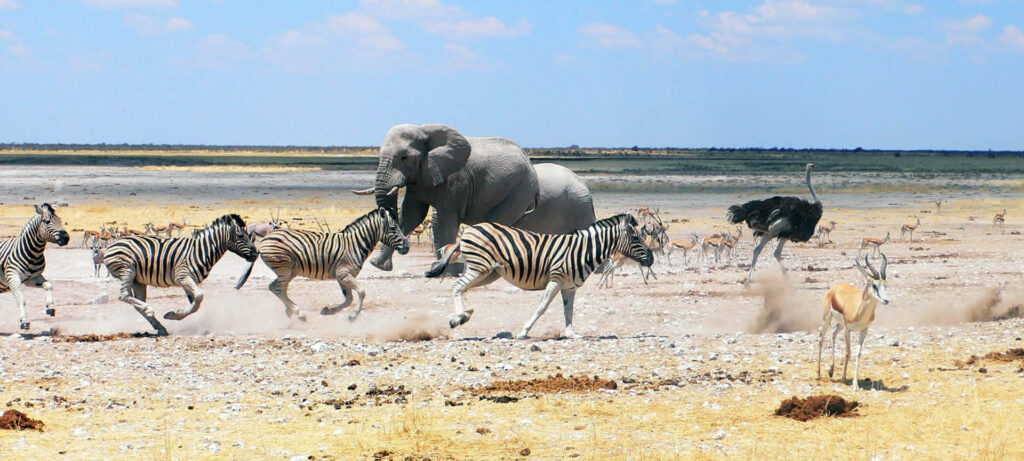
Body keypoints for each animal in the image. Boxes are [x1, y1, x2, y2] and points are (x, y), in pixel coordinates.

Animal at [101, 212, 258, 333]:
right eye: (241, 236)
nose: (256, 254)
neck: (202, 250)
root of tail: (111, 246)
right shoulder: (183, 276)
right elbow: (199, 297)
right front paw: (175, 314)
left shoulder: (188, 280)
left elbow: (195, 303)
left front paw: (174, 315)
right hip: (128, 270)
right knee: (124, 296)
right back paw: (149, 310)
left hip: (138, 280)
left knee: (136, 301)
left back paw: (159, 326)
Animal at [234, 207, 409, 319]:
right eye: (393, 228)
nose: (407, 247)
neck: (356, 243)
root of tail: (264, 241)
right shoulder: (344, 274)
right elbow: (361, 292)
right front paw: (353, 315)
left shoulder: (341, 276)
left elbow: (348, 299)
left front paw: (328, 311)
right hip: (285, 268)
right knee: (276, 288)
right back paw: (298, 313)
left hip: (289, 271)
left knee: (278, 289)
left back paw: (291, 311)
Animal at [352, 124, 598, 272]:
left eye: (404, 157)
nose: (405, 249)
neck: (425, 129)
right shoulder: (422, 176)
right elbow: (412, 214)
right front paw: (378, 265)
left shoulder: (455, 180)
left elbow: (443, 219)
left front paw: (443, 270)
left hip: (522, 192)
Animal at [425, 212, 651, 338]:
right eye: (635, 238)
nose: (651, 259)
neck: (581, 251)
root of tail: (469, 230)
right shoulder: (556, 279)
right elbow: (542, 306)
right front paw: (524, 332)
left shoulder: (569, 286)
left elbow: (569, 311)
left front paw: (571, 333)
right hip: (479, 267)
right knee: (457, 286)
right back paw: (458, 318)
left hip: (484, 270)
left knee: (463, 285)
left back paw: (464, 313)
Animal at [815, 252, 888, 389]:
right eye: (874, 285)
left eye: (886, 284)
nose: (886, 300)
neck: (859, 311)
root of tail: (835, 287)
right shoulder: (848, 330)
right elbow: (848, 352)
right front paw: (844, 377)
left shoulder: (864, 330)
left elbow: (858, 353)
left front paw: (855, 384)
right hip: (827, 318)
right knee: (821, 338)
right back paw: (818, 374)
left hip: (840, 324)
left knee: (833, 332)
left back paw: (831, 370)